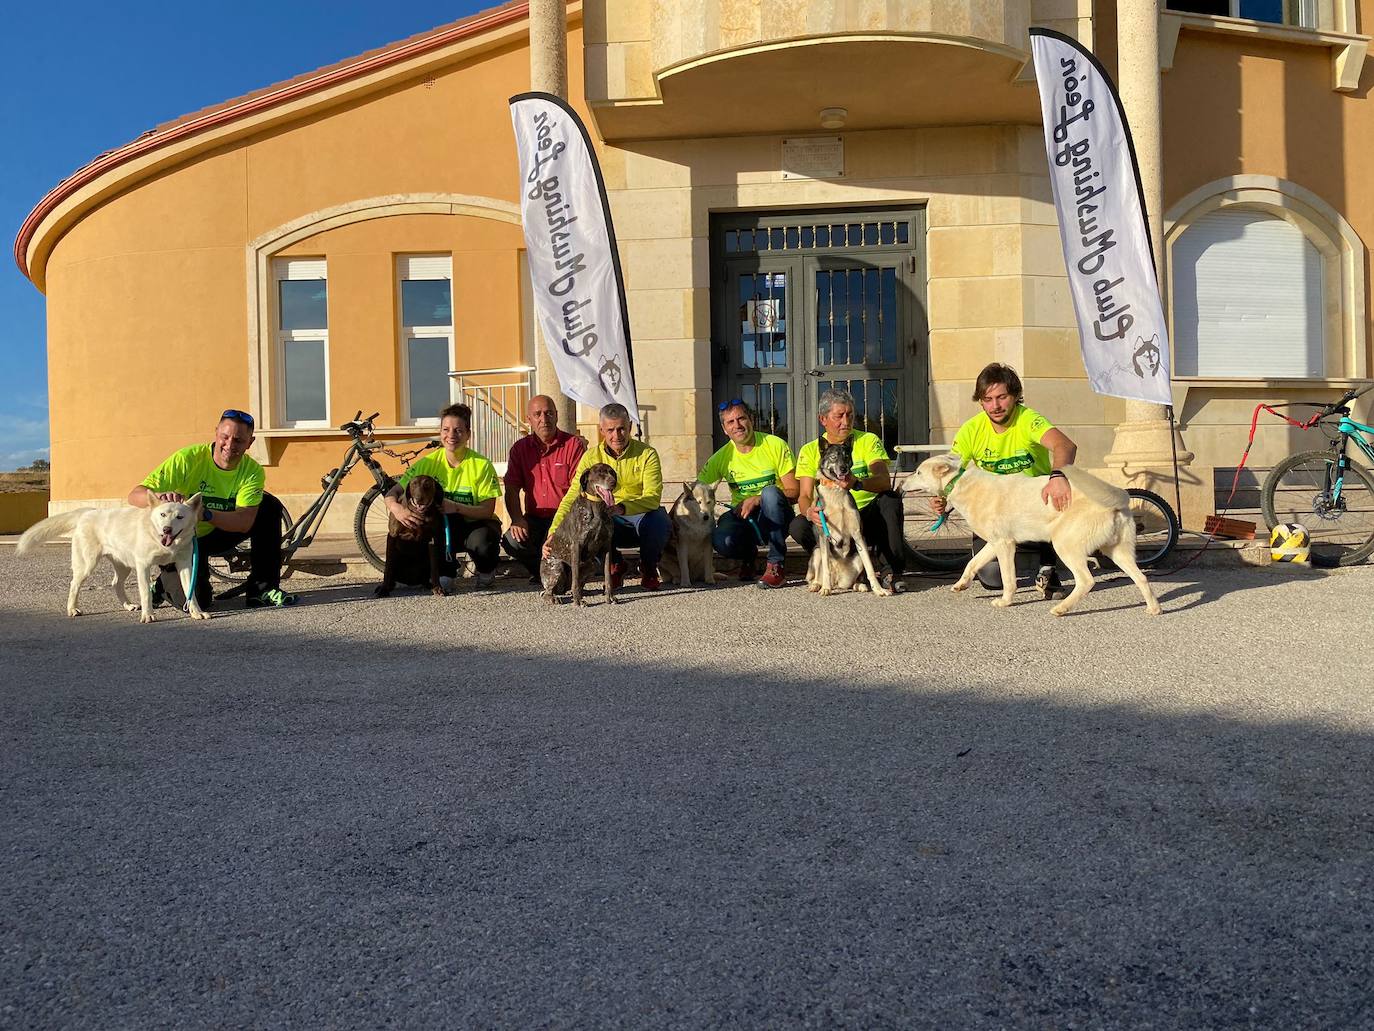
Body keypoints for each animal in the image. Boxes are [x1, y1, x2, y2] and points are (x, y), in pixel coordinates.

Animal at [16, 497, 210, 626]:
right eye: (162, 514)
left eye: (179, 517)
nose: (166, 529)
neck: (159, 539)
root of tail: (88, 512)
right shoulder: (143, 565)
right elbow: (146, 593)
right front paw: (148, 615)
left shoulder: (185, 565)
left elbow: (190, 592)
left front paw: (197, 612)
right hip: (88, 565)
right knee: (74, 584)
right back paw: (72, 609)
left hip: (124, 566)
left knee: (116, 583)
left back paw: (128, 605)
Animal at [912, 456, 1159, 618]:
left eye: (918, 472)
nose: (904, 484)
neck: (960, 482)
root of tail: (1119, 499)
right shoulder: (994, 544)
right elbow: (972, 564)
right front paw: (961, 585)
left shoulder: (1004, 545)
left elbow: (1008, 579)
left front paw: (1005, 602)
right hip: (1117, 552)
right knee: (1141, 578)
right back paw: (1154, 608)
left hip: (1064, 545)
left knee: (1086, 581)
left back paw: (1061, 609)